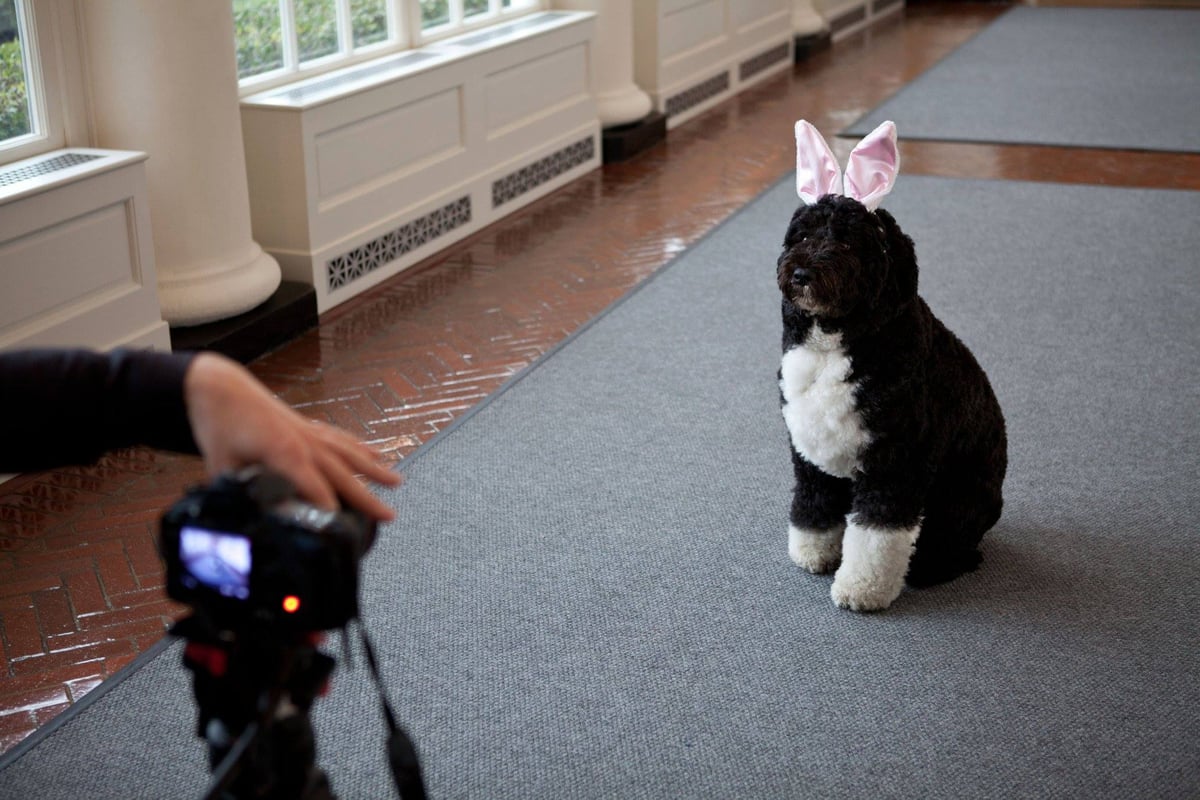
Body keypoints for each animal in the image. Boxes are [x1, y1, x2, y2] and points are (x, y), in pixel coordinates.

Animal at [772, 120, 1008, 614]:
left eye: (846, 241)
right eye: (803, 236)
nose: (801, 273)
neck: (835, 342)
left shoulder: (896, 463)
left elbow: (877, 536)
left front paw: (862, 589)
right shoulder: (809, 453)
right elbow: (813, 503)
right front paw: (814, 552)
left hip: (959, 500)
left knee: (954, 546)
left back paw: (931, 569)